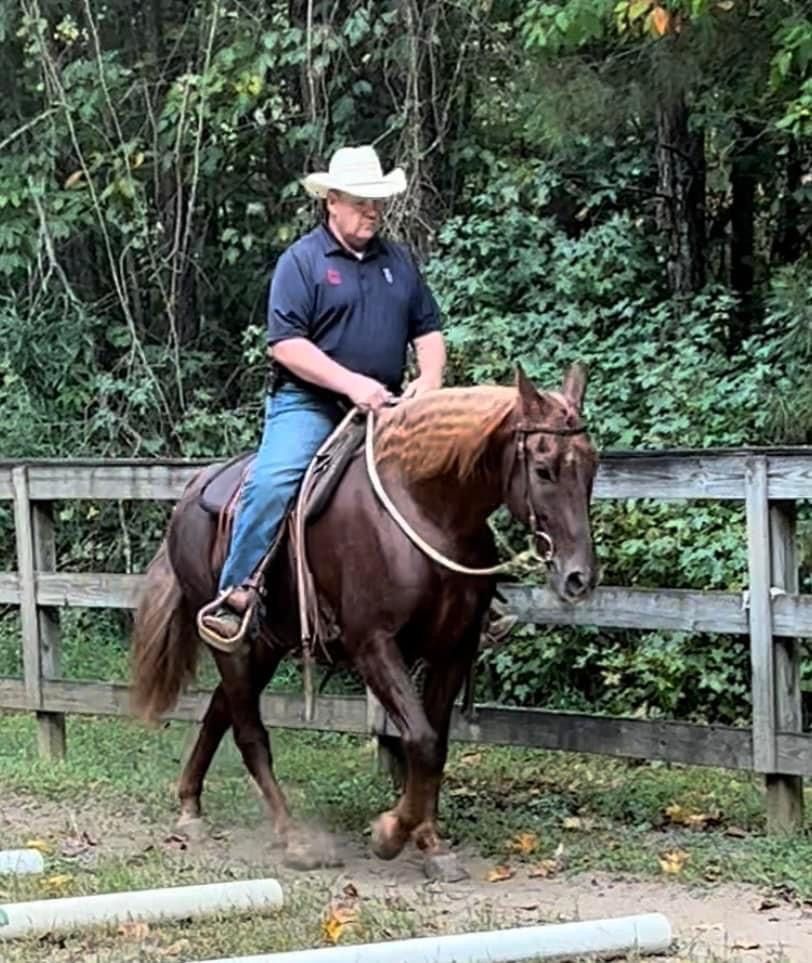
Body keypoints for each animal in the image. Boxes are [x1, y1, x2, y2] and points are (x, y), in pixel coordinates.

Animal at [127, 366, 596, 876]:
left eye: (592, 467)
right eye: (544, 469)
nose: (579, 577)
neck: (426, 510)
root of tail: (194, 488)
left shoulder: (453, 648)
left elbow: (434, 746)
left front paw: (430, 843)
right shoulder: (374, 644)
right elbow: (420, 739)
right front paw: (390, 833)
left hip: (267, 644)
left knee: (218, 710)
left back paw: (190, 805)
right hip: (228, 641)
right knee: (248, 730)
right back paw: (294, 837)